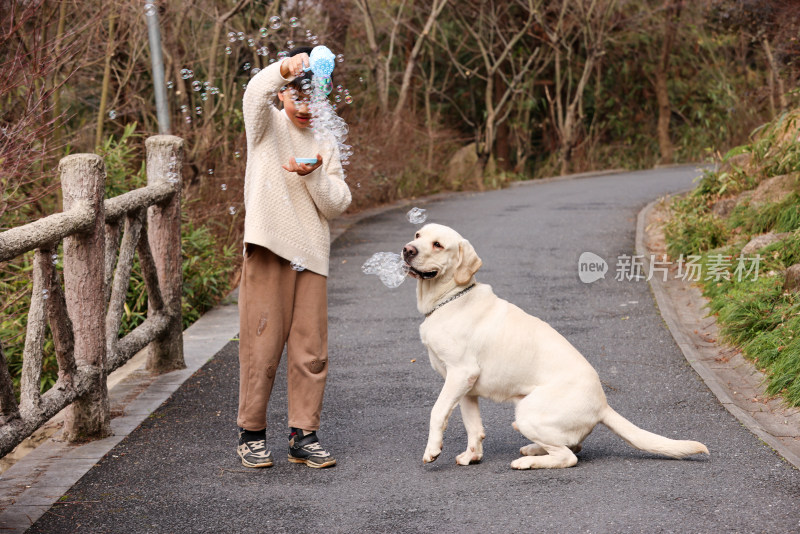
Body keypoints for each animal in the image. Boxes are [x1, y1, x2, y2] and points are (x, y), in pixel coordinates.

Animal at [404, 224, 708, 472]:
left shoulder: (460, 374)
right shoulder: (466, 387)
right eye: (417, 235)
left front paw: (433, 450)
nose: (407, 250)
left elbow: (437, 412)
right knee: (573, 445)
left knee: (568, 456)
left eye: (438, 244)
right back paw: (532, 450)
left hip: (526, 414)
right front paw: (472, 456)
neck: (451, 299)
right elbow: (473, 426)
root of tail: (603, 405)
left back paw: (527, 461)